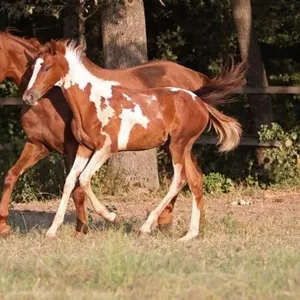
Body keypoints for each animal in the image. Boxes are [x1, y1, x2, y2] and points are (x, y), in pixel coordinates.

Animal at [0, 31, 246, 237]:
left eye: (46, 68)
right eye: (32, 67)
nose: (29, 97)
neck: (90, 100)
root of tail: (199, 101)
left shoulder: (104, 149)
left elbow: (83, 180)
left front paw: (109, 217)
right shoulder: (81, 147)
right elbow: (70, 181)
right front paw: (52, 230)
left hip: (178, 145)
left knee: (179, 180)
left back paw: (148, 226)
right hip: (180, 147)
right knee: (194, 180)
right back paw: (190, 234)